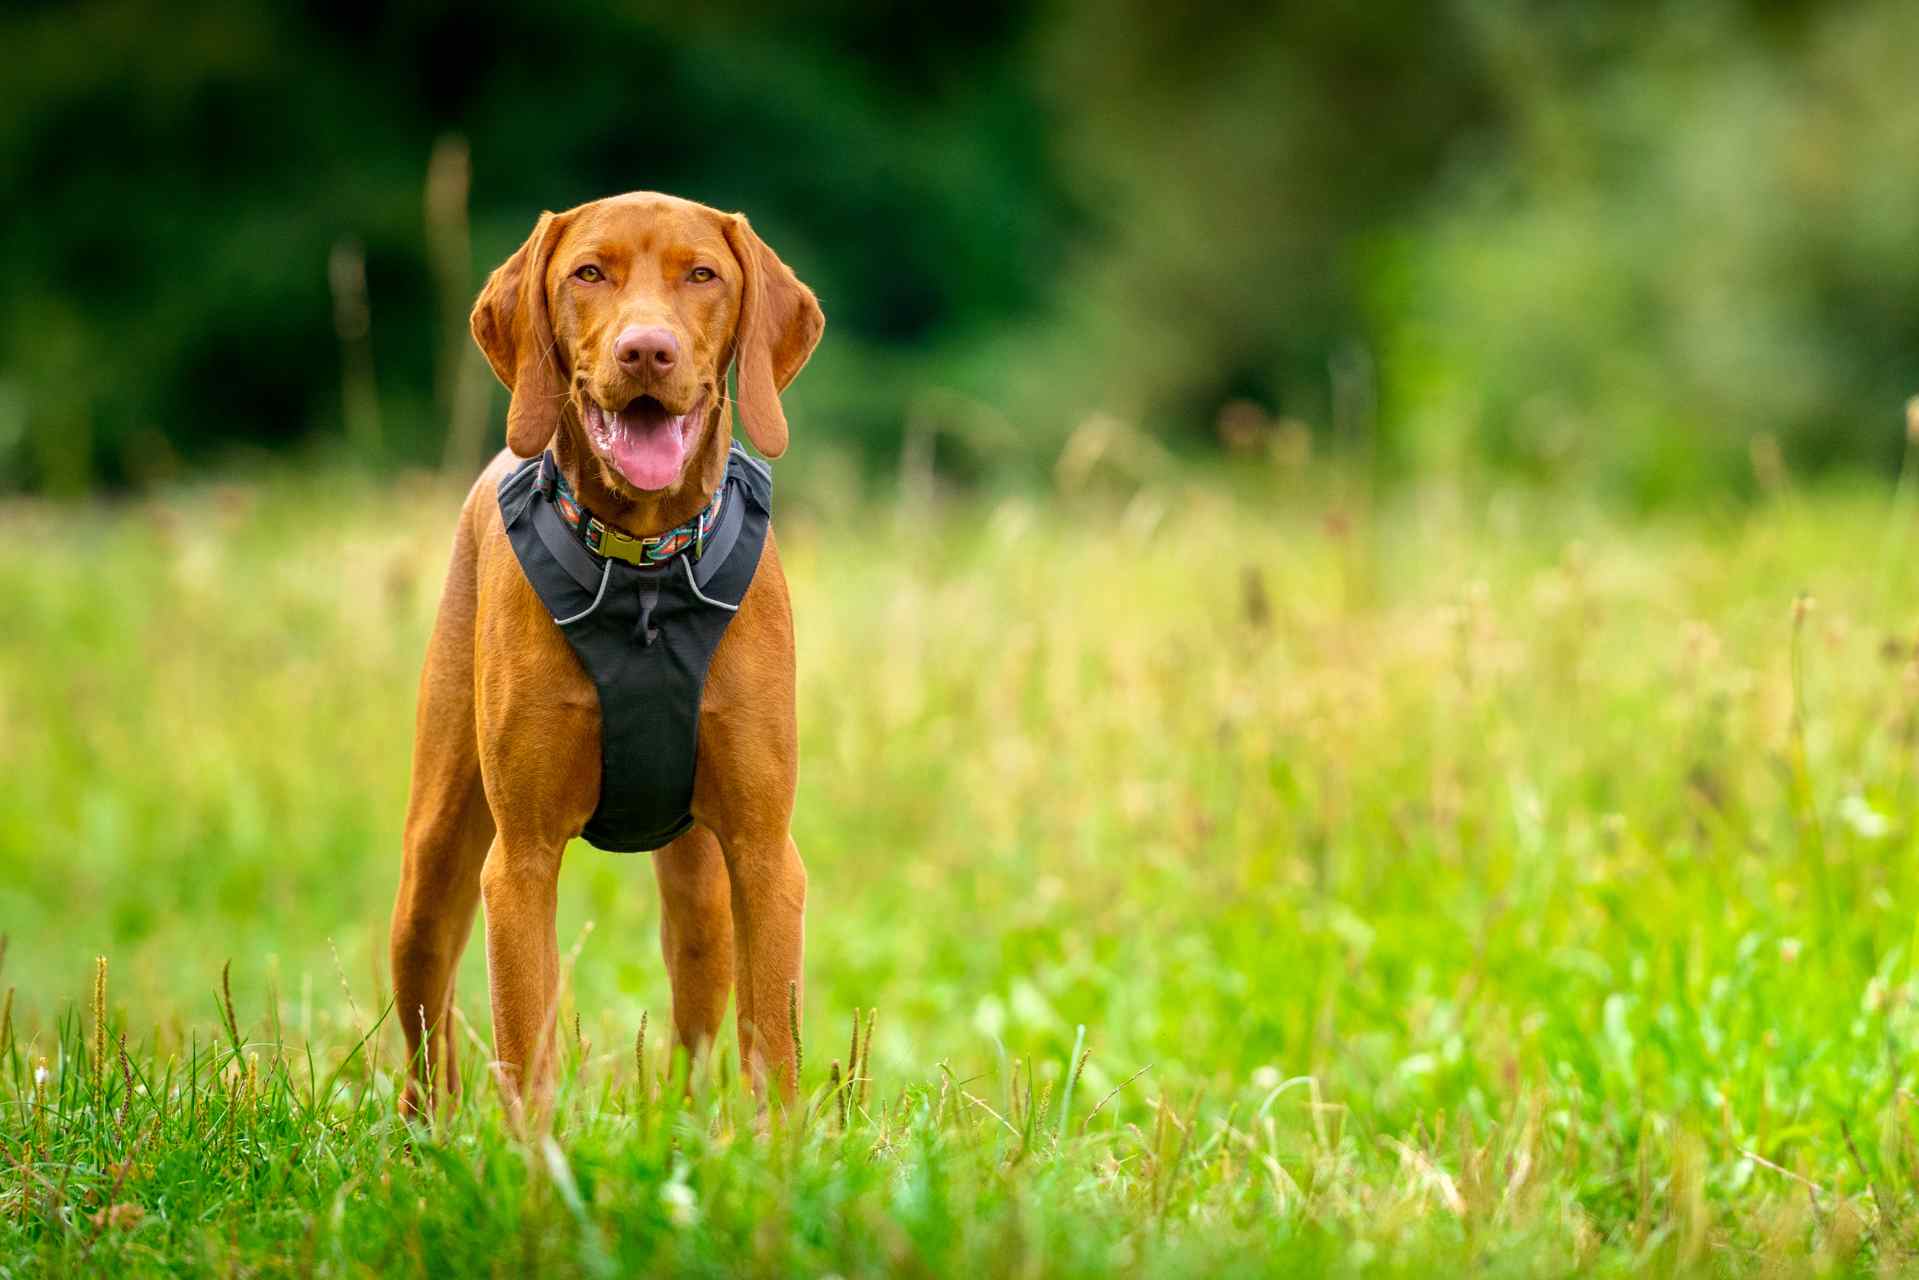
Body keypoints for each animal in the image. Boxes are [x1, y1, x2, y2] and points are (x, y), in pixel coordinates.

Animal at [389, 189, 825, 1120]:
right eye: (588, 273)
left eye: (702, 275)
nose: (646, 349)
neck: (644, 572)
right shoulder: (519, 864)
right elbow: (527, 1053)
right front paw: (535, 1159)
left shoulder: (765, 856)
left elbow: (771, 1051)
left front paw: (774, 1155)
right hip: (433, 863)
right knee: (424, 1030)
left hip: (700, 896)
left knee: (698, 1030)